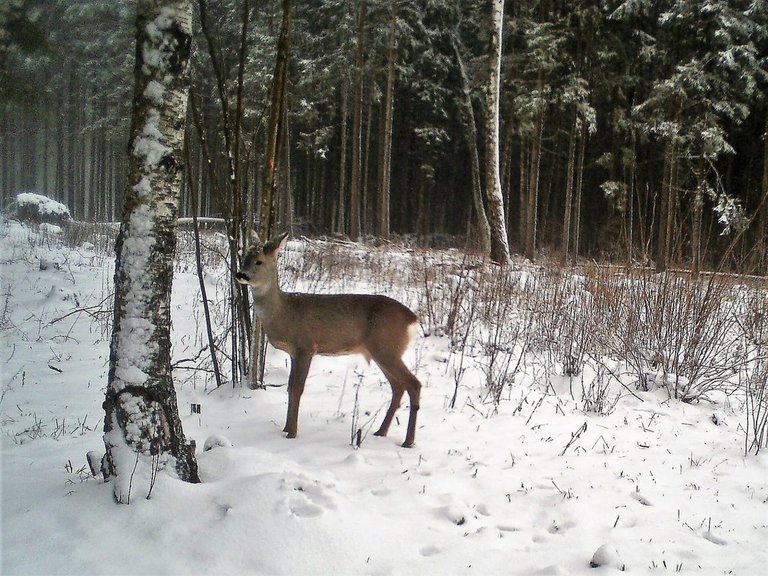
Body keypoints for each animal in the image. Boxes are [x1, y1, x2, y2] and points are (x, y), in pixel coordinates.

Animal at [236, 232, 424, 448]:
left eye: (259, 261)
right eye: (243, 257)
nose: (240, 274)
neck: (283, 312)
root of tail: (413, 319)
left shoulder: (306, 346)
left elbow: (297, 388)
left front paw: (292, 433)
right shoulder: (293, 353)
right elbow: (290, 387)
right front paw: (285, 428)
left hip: (387, 349)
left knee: (414, 383)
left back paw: (408, 441)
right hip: (383, 352)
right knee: (398, 387)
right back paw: (381, 432)